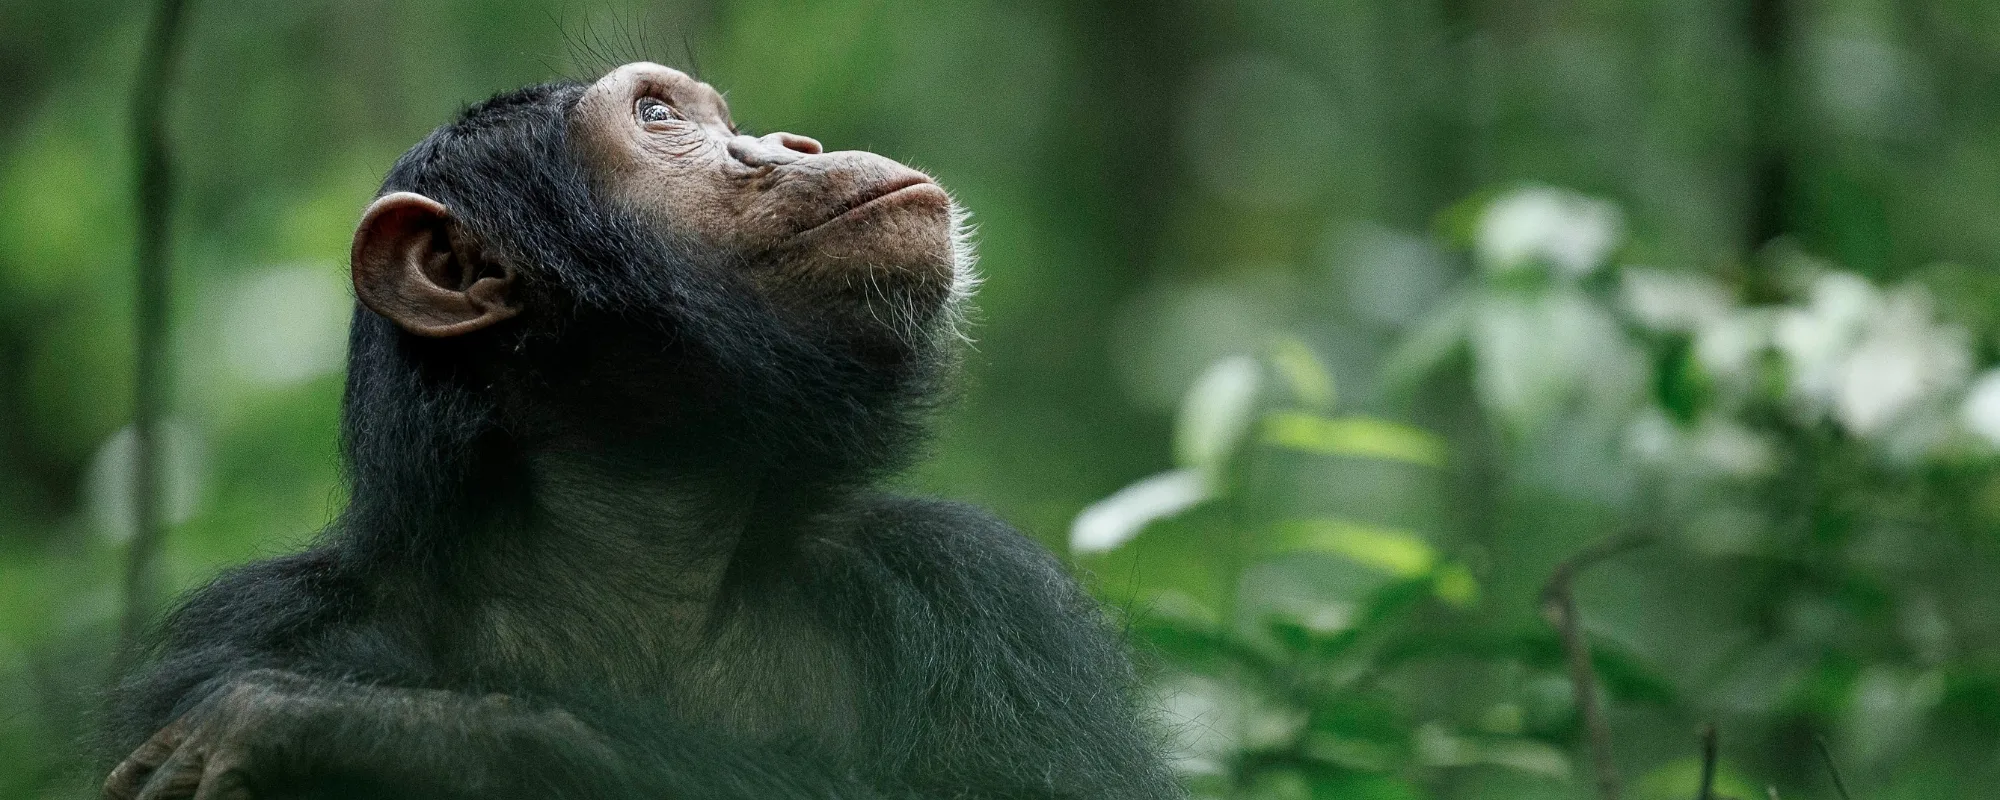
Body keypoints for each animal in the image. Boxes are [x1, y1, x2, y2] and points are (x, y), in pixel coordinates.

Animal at [94, 62, 1183, 800]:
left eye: (721, 120)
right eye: (659, 117)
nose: (789, 143)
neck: (644, 529)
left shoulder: (986, 588)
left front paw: (381, 731)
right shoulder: (250, 628)